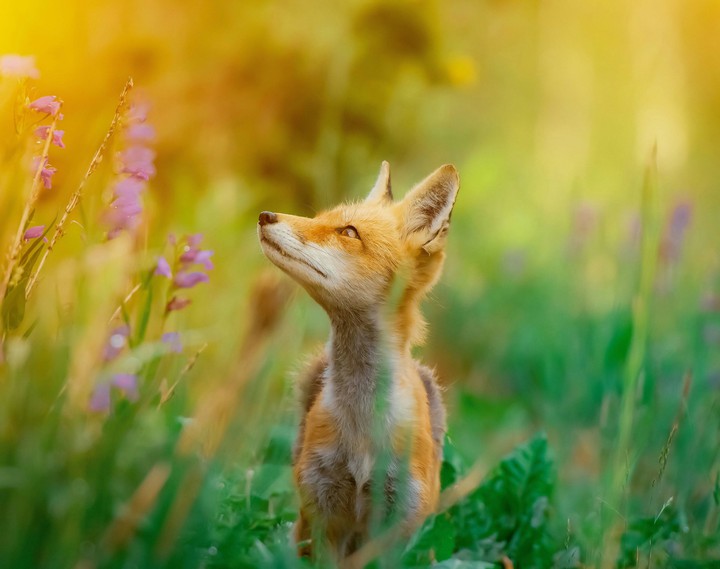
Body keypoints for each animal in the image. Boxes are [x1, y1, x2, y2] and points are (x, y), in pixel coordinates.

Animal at [257, 161, 459, 561]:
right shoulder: (321, 513)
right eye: (319, 218)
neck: (362, 428)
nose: (265, 215)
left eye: (348, 232)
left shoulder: (398, 524)